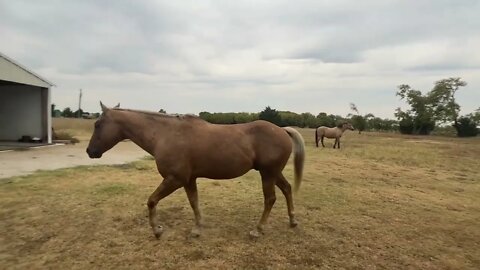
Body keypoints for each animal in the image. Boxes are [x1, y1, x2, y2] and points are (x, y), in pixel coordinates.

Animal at [86, 102, 304, 238]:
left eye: (98, 124)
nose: (90, 151)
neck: (165, 135)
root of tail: (282, 129)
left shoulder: (175, 179)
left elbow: (151, 201)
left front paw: (157, 230)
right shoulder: (189, 180)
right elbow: (194, 203)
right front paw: (197, 229)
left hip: (267, 173)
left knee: (270, 199)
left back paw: (258, 230)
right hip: (274, 173)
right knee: (287, 189)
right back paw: (293, 220)